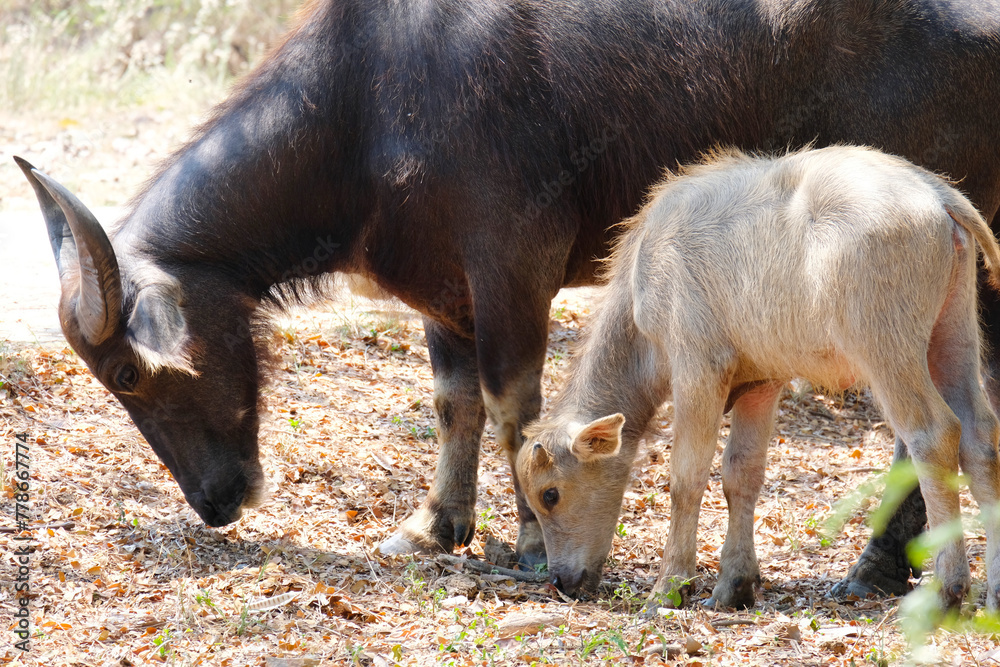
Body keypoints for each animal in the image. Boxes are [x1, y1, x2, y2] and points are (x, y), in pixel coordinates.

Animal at [520, 145, 1000, 612]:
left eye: (550, 494)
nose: (559, 581)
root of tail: (938, 193)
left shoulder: (698, 371)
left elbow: (687, 478)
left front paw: (668, 587)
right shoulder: (762, 384)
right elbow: (741, 474)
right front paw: (733, 585)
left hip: (887, 352)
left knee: (933, 436)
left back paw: (947, 590)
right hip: (952, 339)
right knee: (979, 440)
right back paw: (992, 594)